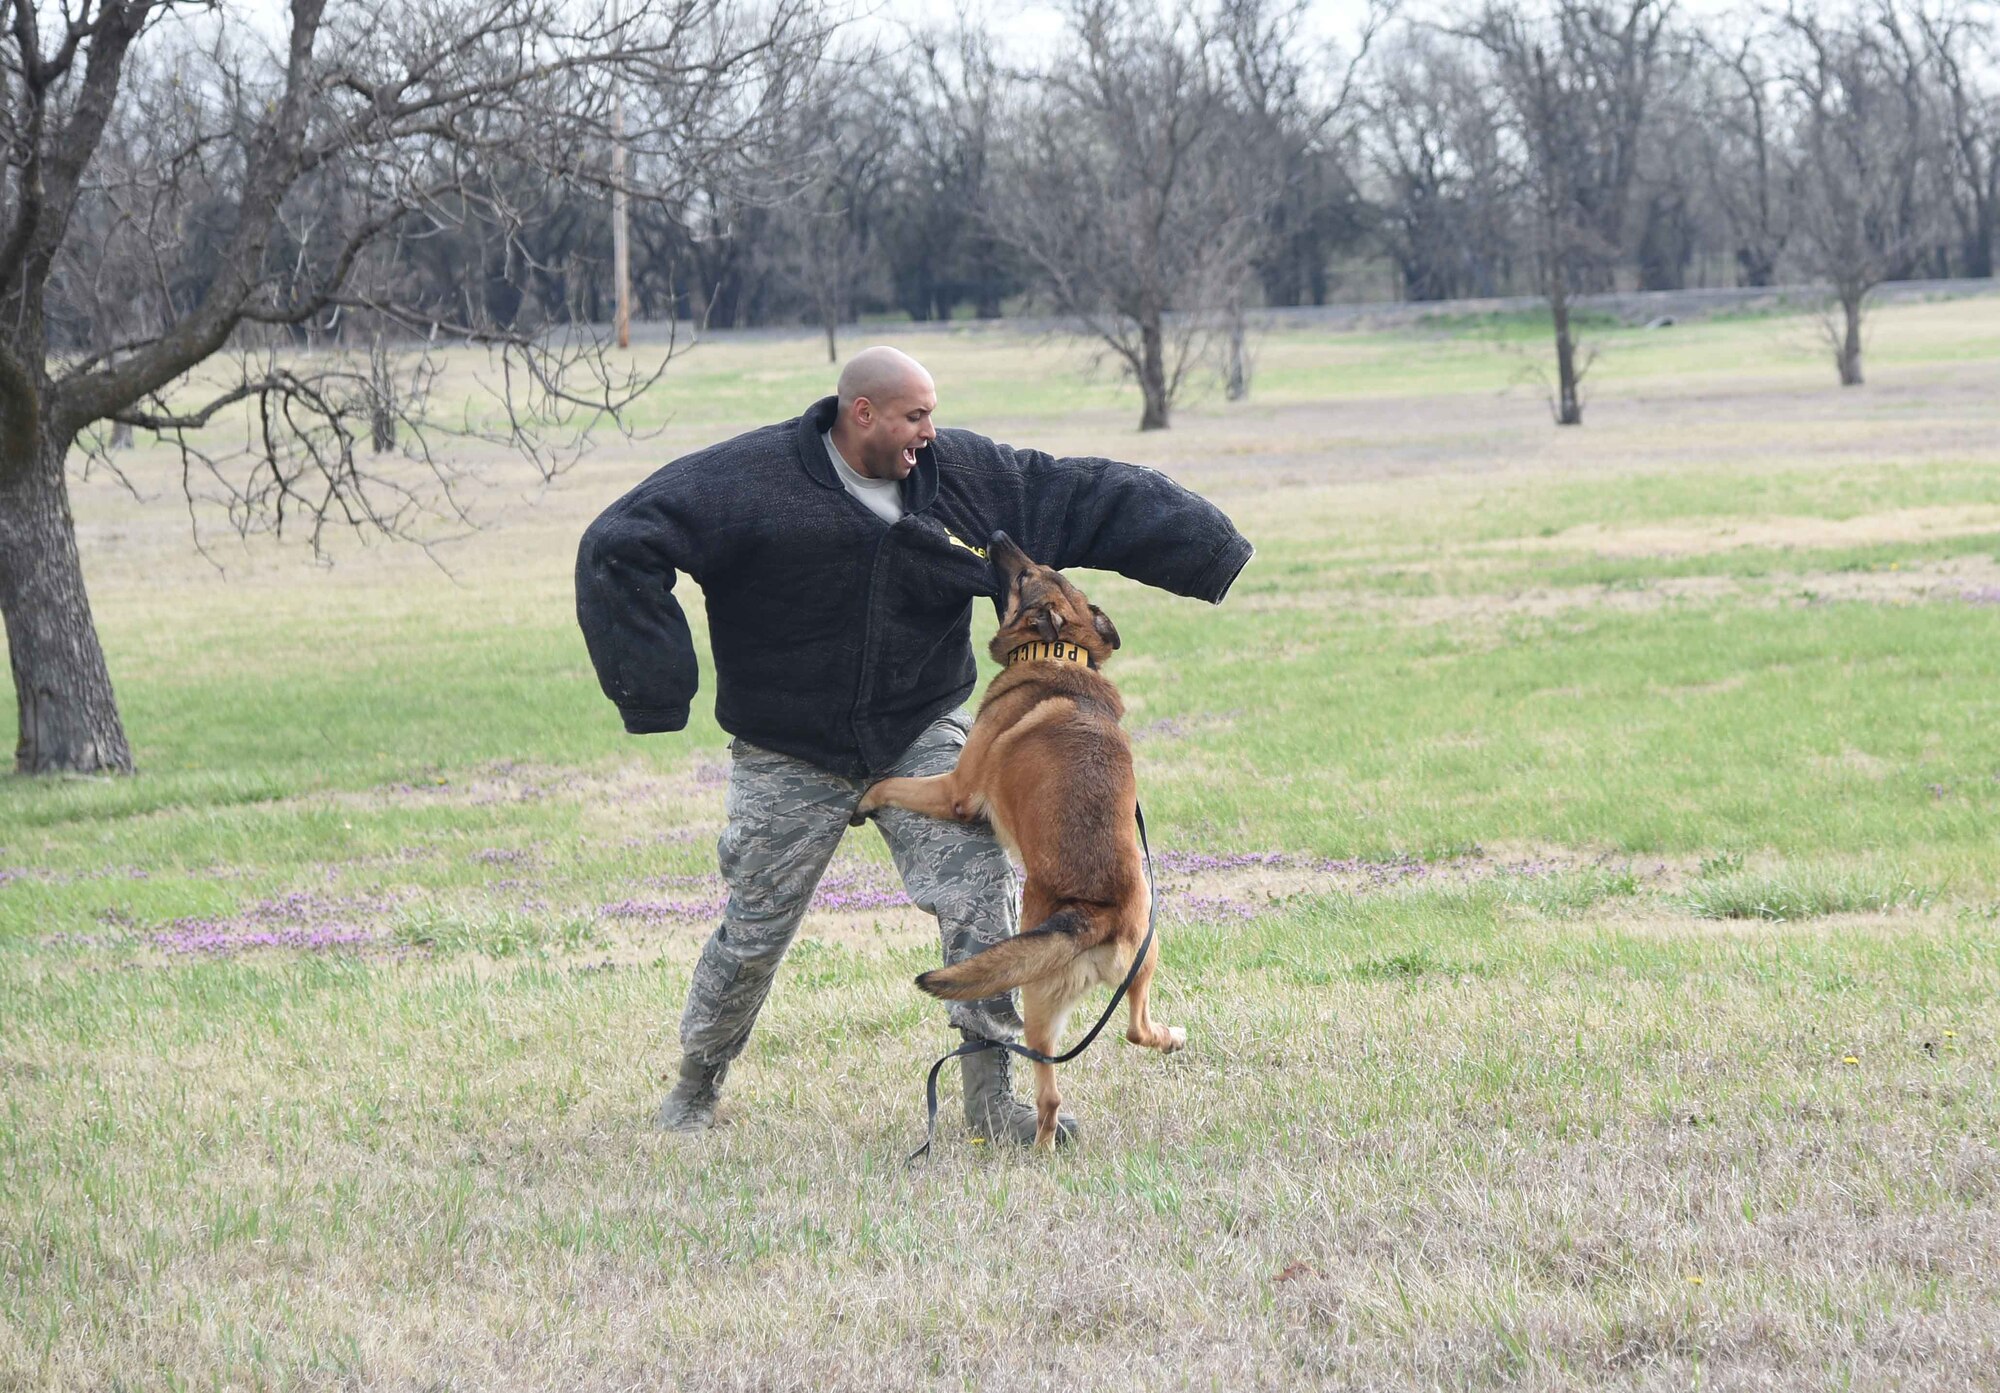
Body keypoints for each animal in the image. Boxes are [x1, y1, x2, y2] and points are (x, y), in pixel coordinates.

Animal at [852, 528, 1176, 1144]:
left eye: (1026, 574)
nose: (1000, 535)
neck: (1059, 651)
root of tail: (1093, 915)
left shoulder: (955, 789)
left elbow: (893, 782)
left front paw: (865, 797)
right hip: (1144, 961)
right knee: (1136, 1030)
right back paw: (1171, 1038)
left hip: (1038, 1002)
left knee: (1050, 1092)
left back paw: (1041, 1146)